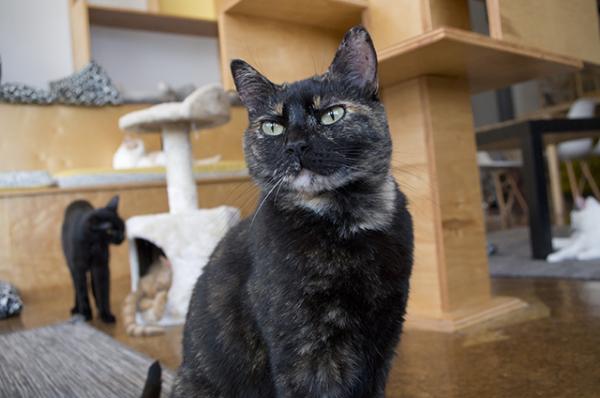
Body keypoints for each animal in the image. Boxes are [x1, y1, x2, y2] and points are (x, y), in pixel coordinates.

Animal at [61, 196, 124, 324]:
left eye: (121, 226)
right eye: (110, 231)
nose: (122, 237)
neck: (93, 244)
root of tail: (78, 200)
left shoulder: (101, 267)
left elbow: (103, 291)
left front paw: (106, 315)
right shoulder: (78, 268)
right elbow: (82, 292)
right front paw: (86, 313)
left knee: (94, 287)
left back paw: (98, 307)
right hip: (72, 267)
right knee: (77, 288)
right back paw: (77, 308)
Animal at [164, 26, 414, 396]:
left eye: (331, 114)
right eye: (273, 126)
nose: (296, 144)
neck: (347, 221)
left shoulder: (384, 337)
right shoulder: (303, 348)